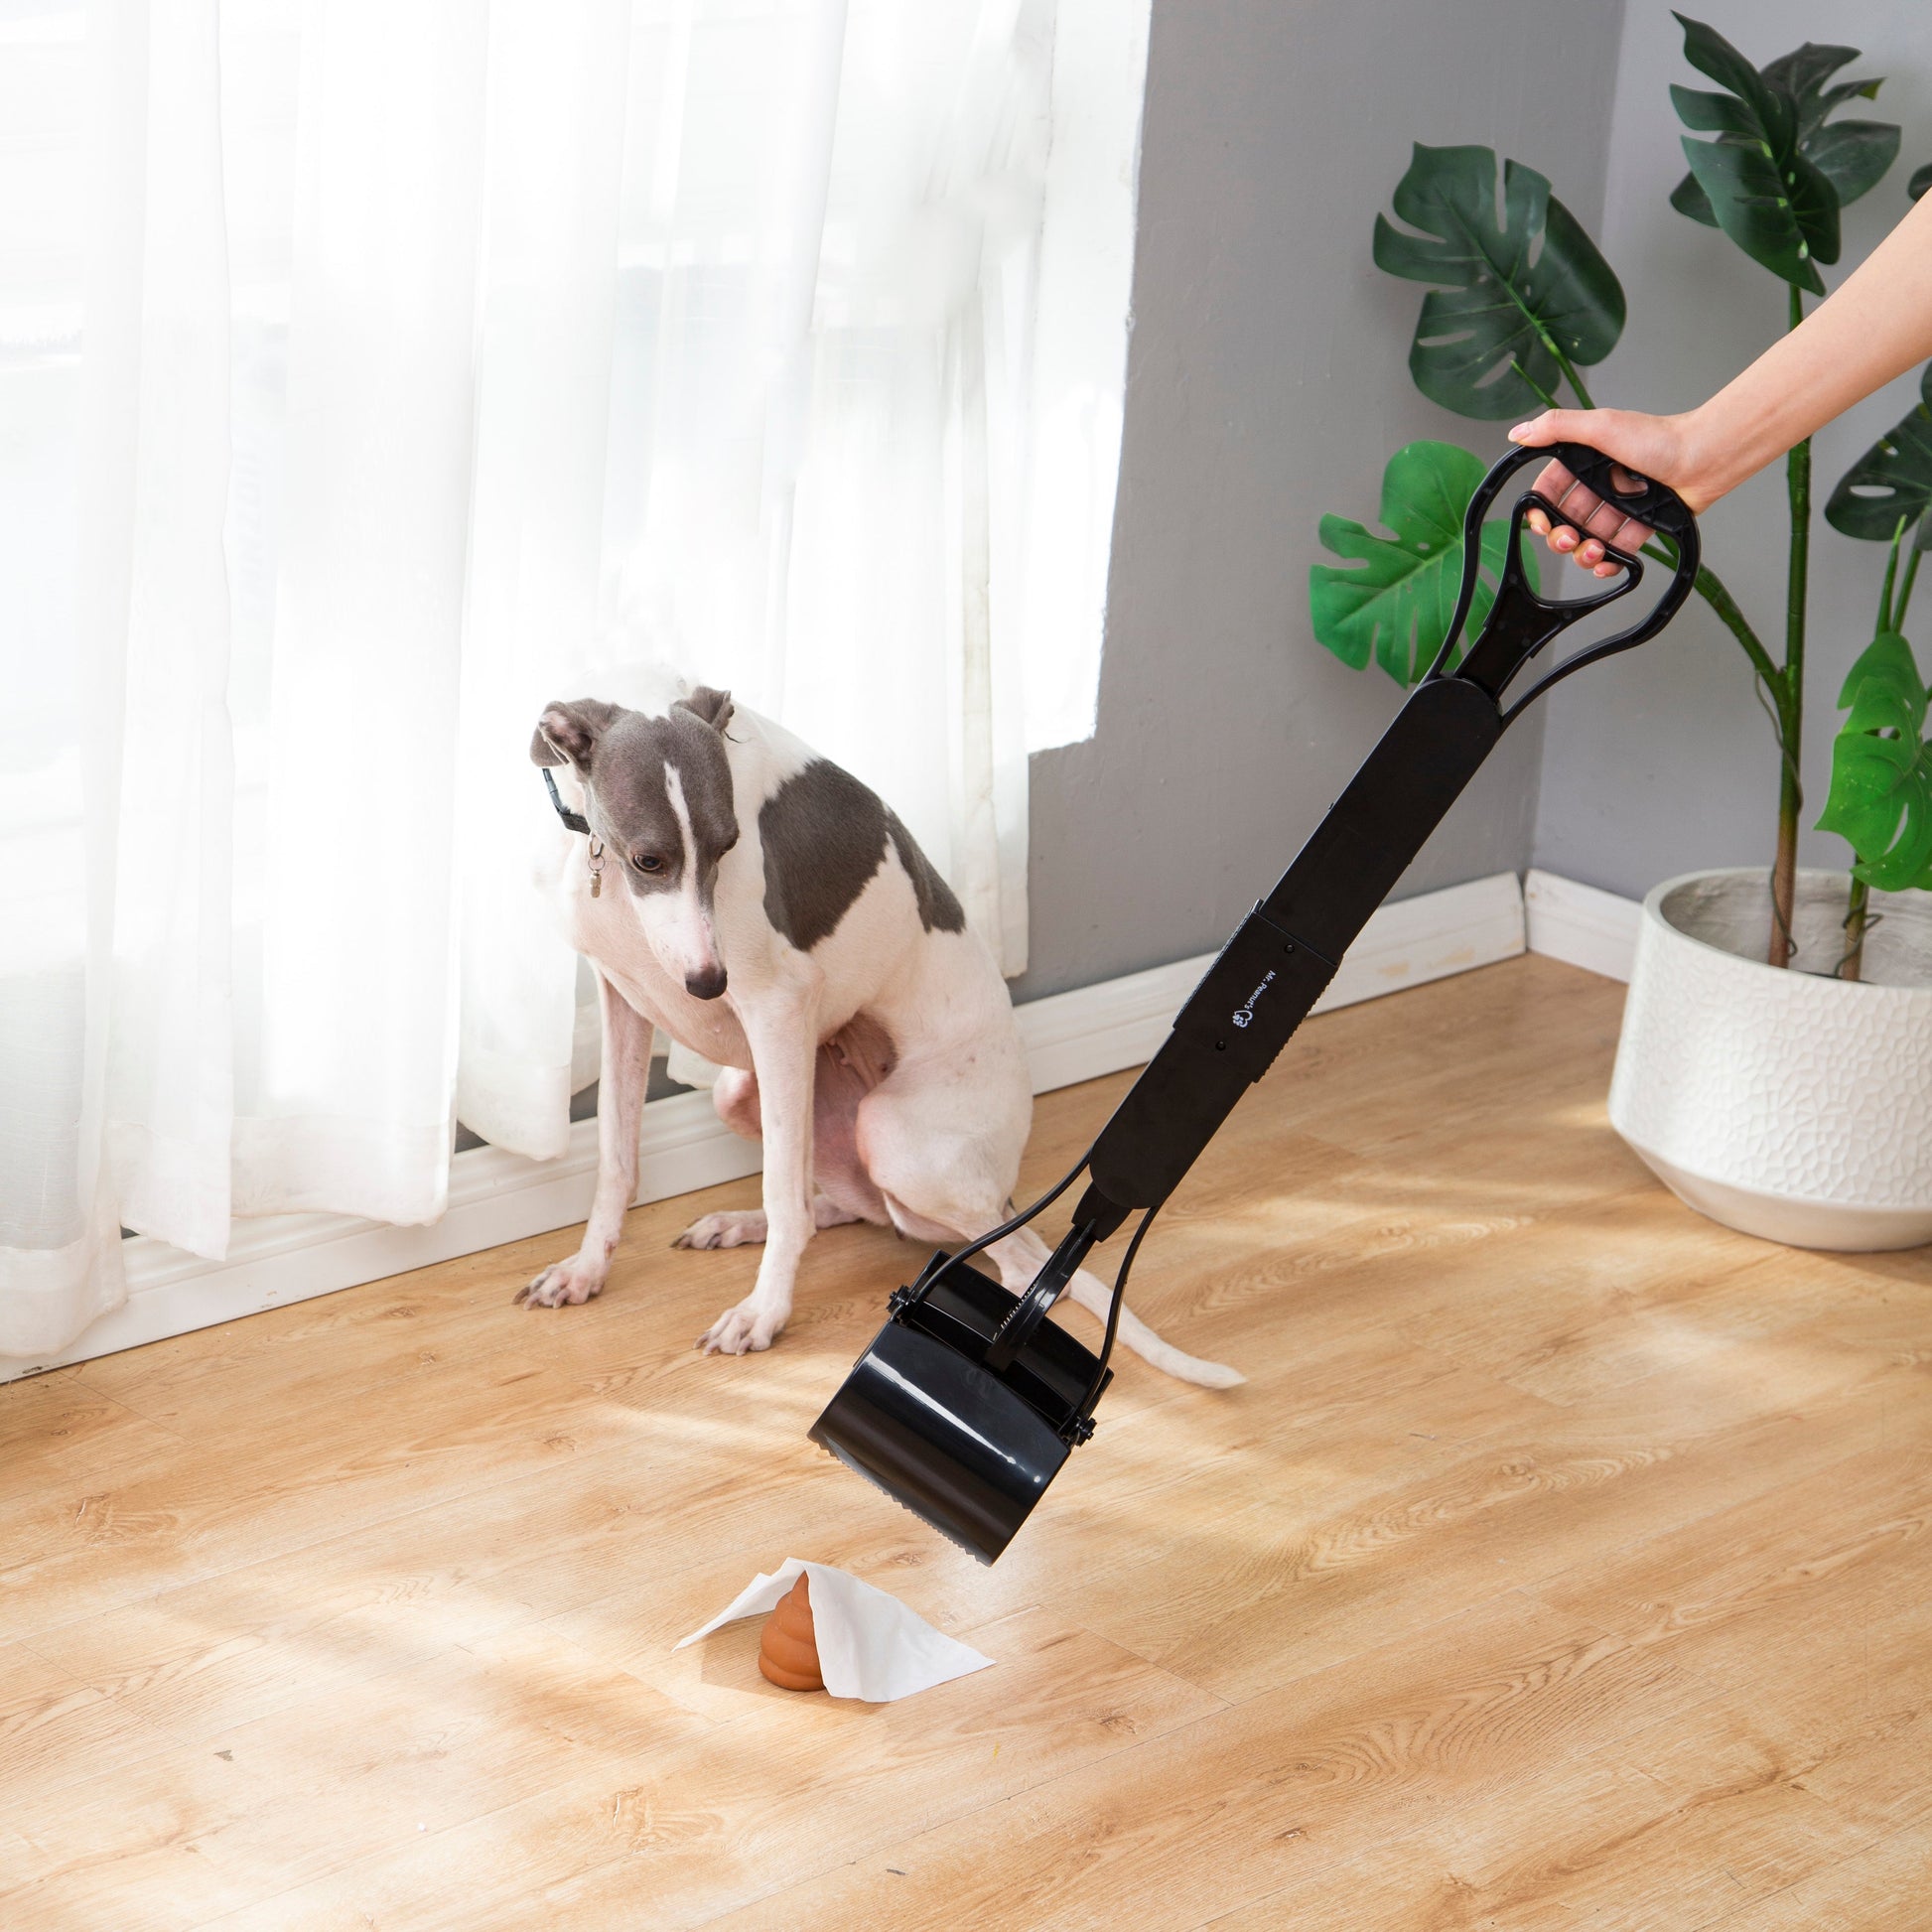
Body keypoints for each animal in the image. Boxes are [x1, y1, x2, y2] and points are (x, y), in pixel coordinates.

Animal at [517, 674, 1240, 1389]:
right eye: (649, 860)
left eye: (728, 848)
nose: (707, 985)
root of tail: (1001, 1190)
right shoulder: (624, 999)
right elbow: (617, 1161)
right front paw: (585, 1271)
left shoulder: (776, 1007)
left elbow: (783, 1193)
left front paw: (763, 1314)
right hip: (746, 1094)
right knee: (841, 1207)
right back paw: (739, 1224)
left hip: (892, 1137)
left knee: (1012, 1262)